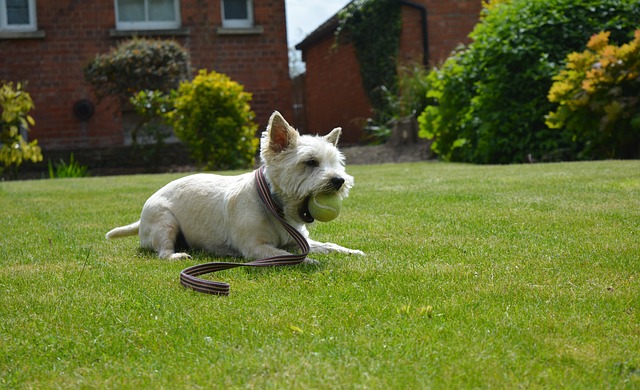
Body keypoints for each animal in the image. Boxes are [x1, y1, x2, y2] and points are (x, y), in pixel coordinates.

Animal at [107, 110, 362, 262]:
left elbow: (328, 245)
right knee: (163, 250)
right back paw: (176, 255)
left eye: (336, 163)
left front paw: (351, 251)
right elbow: (283, 255)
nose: (339, 181)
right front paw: (309, 261)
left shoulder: (299, 240)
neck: (274, 207)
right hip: (165, 222)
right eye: (310, 162)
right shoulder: (255, 248)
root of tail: (141, 220)